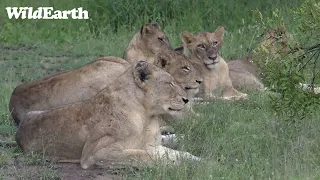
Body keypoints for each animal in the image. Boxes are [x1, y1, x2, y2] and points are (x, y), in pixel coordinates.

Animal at [15, 61, 200, 169]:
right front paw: (174, 164)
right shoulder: (95, 153)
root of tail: (18, 132)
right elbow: (142, 155)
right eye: (169, 83)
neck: (146, 116)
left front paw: (198, 160)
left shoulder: (151, 145)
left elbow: (180, 153)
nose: (185, 100)